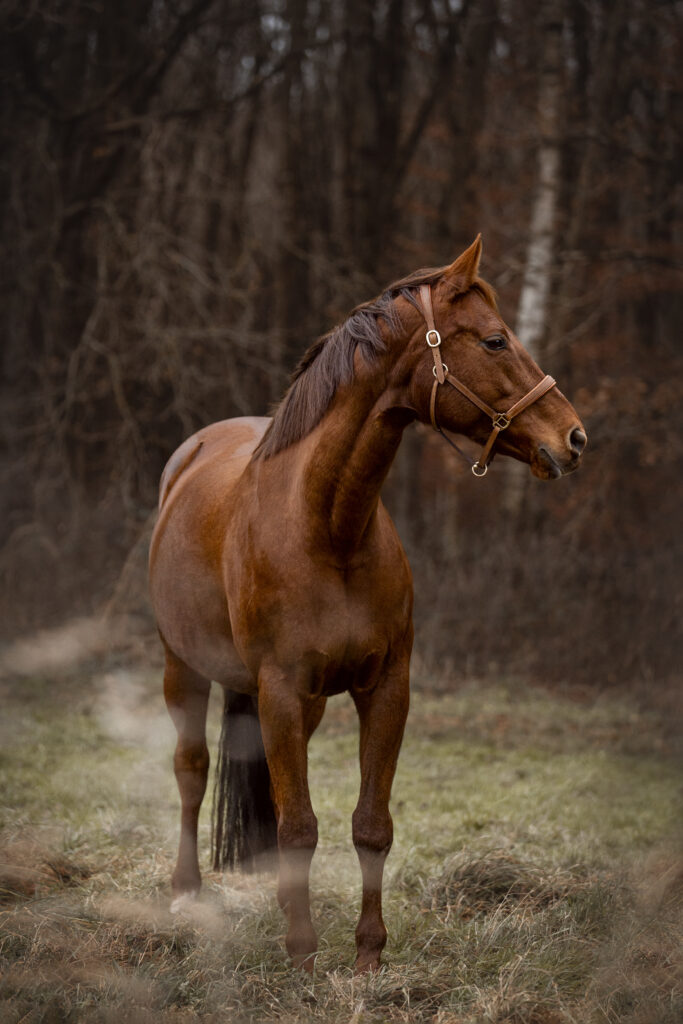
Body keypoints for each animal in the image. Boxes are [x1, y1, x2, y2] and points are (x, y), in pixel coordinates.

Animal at [149, 235, 589, 970]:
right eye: (495, 340)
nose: (575, 438)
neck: (329, 528)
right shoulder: (278, 689)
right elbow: (299, 825)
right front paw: (302, 955)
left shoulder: (383, 689)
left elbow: (370, 825)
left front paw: (367, 957)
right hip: (183, 668)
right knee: (191, 770)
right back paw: (186, 894)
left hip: (306, 706)